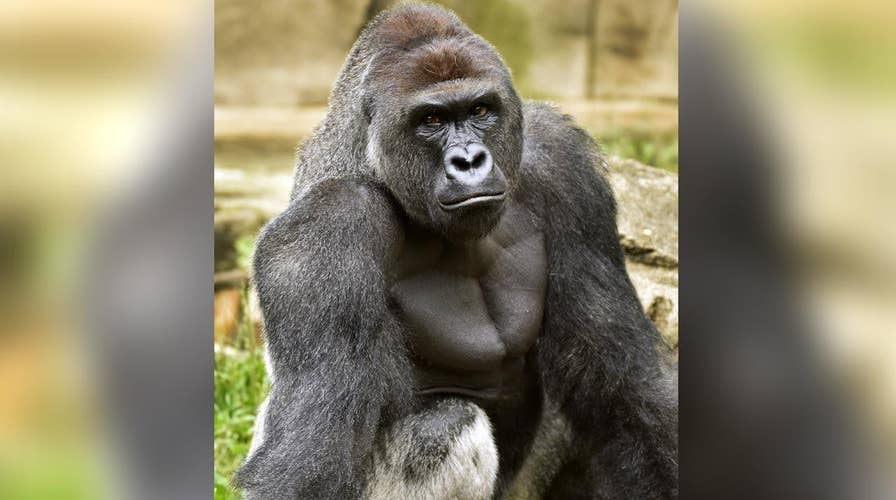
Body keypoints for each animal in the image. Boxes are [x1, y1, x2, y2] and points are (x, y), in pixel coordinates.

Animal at [235, 4, 677, 499]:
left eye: (480, 110)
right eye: (431, 120)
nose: (469, 161)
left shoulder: (563, 164)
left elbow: (625, 386)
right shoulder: (327, 227)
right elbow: (313, 456)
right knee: (445, 425)